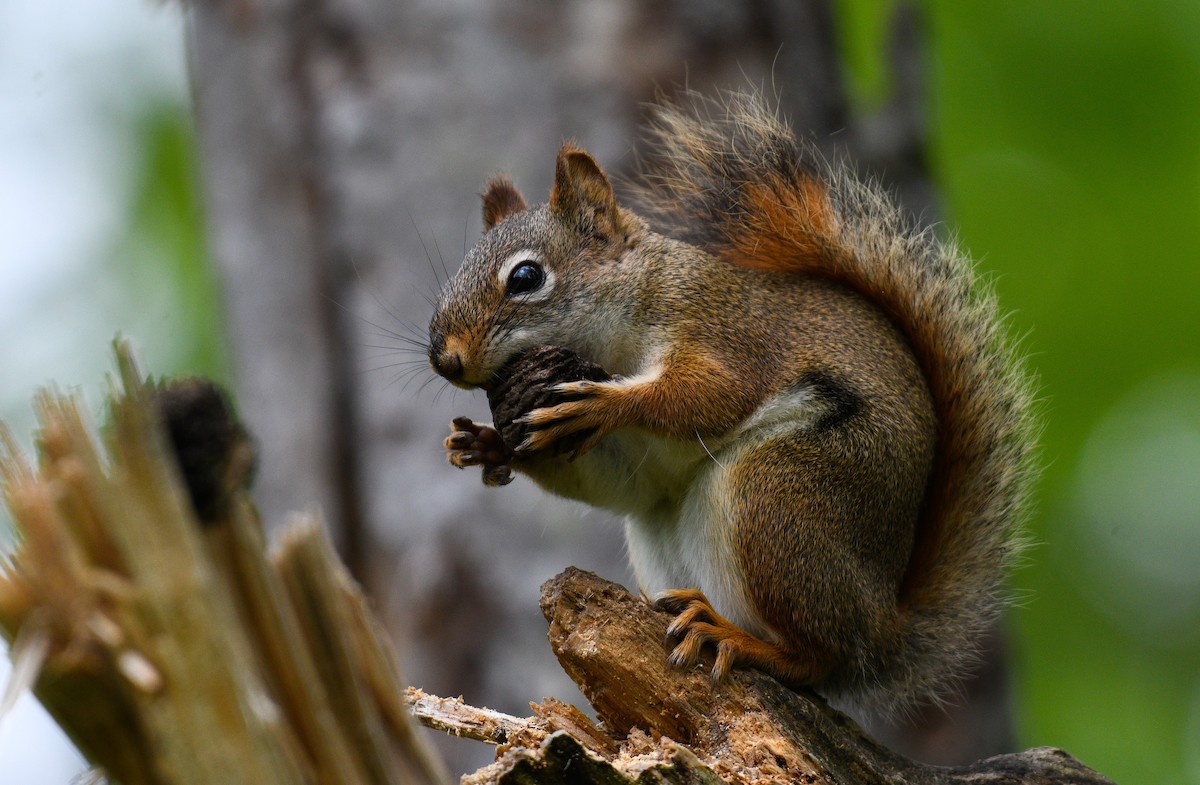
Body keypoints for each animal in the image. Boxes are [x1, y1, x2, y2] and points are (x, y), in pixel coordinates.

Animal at [427, 91, 1036, 712]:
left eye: (526, 277)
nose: (444, 359)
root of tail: (881, 624)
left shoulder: (725, 333)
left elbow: (712, 394)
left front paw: (601, 403)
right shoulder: (634, 466)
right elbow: (618, 482)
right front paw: (488, 444)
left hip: (780, 495)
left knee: (818, 657)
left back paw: (737, 638)